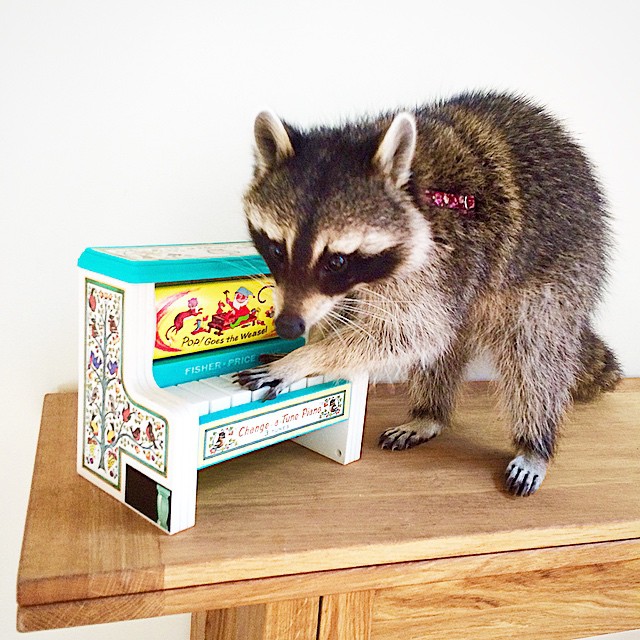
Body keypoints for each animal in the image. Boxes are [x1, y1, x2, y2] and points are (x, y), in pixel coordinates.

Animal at [237, 92, 622, 496]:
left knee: (535, 355)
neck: (412, 189)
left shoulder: (441, 261)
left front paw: (307, 357)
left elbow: (411, 333)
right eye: (276, 249)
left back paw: (534, 443)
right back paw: (429, 414)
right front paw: (313, 342)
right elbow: (352, 315)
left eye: (337, 261)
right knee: (446, 351)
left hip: (562, 270)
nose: (288, 327)